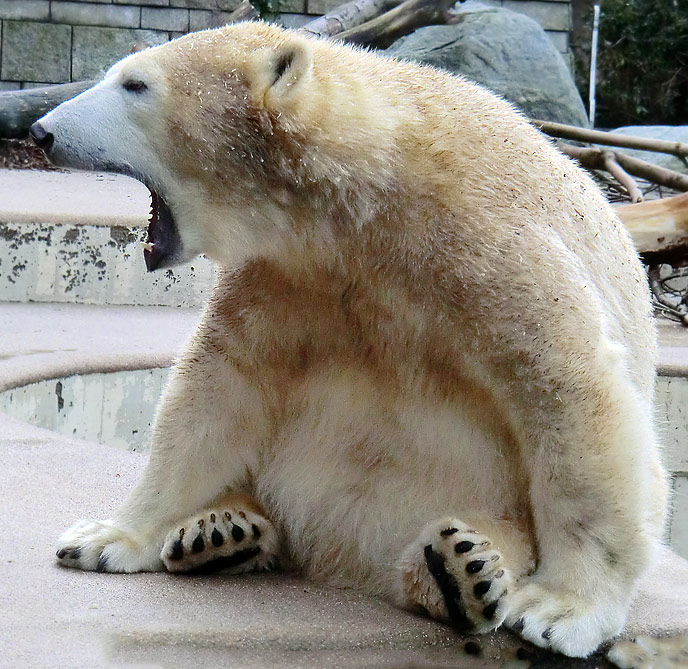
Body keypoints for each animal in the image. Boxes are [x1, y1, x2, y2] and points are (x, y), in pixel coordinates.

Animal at [32, 19, 668, 656]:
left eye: (134, 84)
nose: (41, 132)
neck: (368, 189)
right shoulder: (292, 275)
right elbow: (219, 386)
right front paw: (105, 537)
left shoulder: (492, 247)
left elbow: (571, 392)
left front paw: (561, 610)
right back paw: (221, 532)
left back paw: (461, 567)